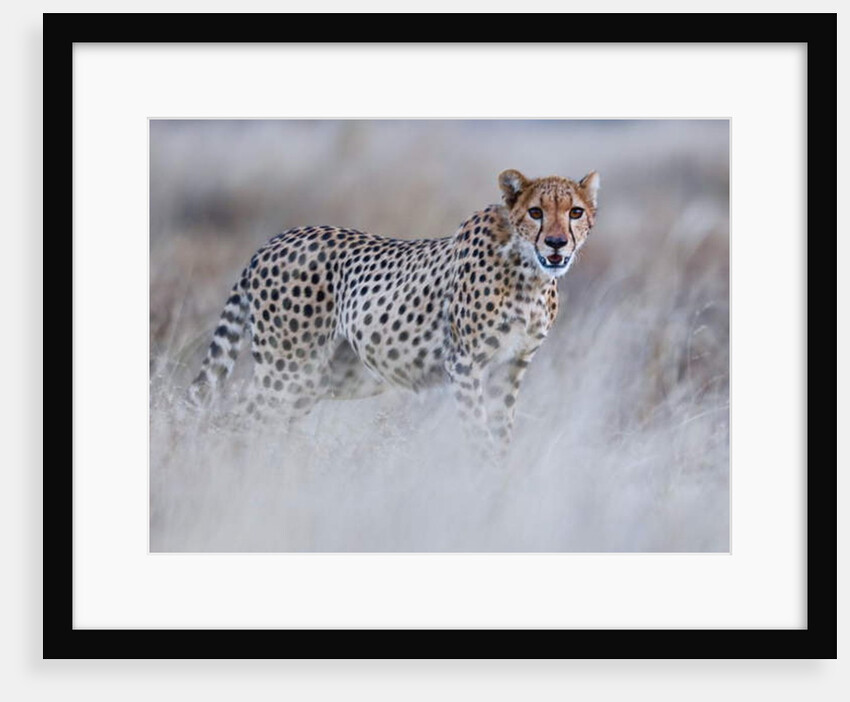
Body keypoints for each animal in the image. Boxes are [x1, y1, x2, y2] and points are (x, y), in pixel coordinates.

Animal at [188, 169, 599, 456]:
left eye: (575, 212)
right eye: (535, 212)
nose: (557, 242)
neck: (529, 273)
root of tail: (272, 241)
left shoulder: (511, 366)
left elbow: (501, 434)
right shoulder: (465, 364)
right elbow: (478, 435)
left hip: (320, 377)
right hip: (286, 367)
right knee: (242, 419)